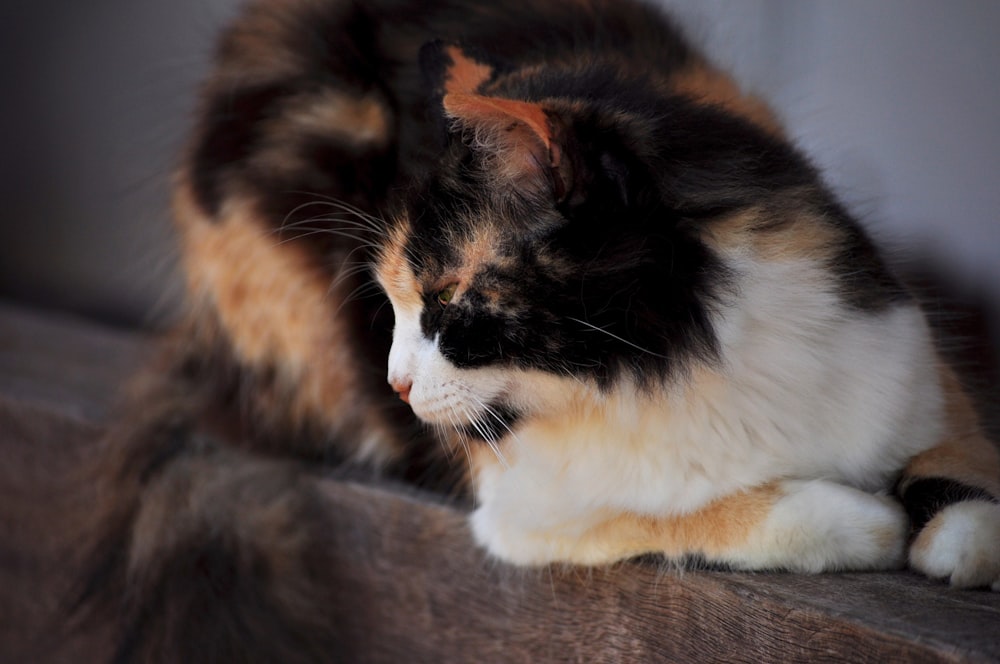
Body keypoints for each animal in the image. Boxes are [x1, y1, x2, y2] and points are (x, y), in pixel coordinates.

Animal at [78, 0, 1000, 660]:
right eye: (385, 306)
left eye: (442, 302)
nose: (395, 384)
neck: (677, 362)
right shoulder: (527, 504)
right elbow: (688, 513)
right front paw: (866, 522)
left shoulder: (915, 376)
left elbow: (961, 463)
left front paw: (969, 538)